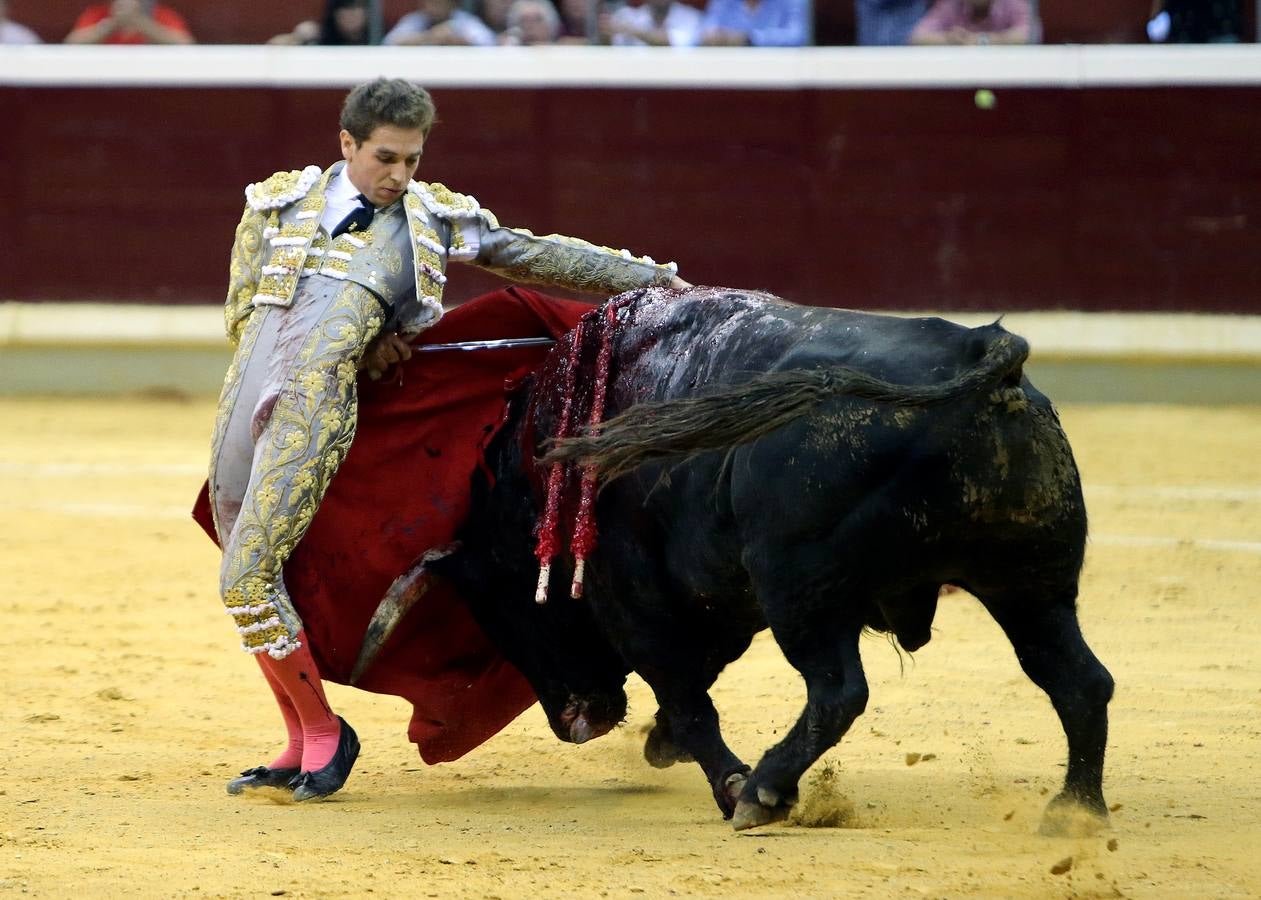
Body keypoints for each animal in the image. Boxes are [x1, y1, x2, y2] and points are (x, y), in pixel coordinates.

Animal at [411, 283, 1104, 831]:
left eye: (504, 606)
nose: (575, 721)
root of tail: (981, 357)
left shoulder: (632, 600)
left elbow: (688, 696)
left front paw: (727, 782)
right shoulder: (716, 593)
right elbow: (702, 674)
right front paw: (665, 744)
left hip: (801, 588)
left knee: (838, 692)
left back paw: (764, 792)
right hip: (1030, 581)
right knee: (1079, 680)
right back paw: (1075, 811)